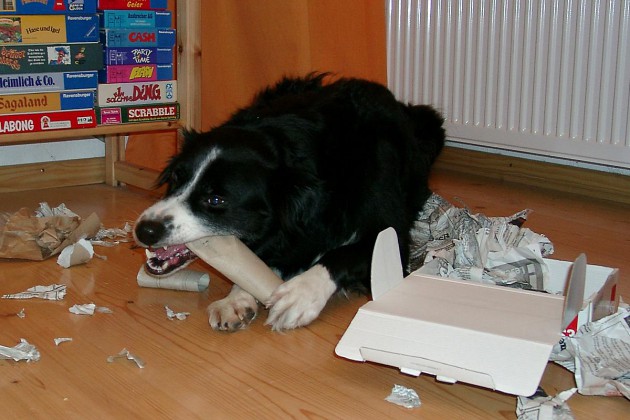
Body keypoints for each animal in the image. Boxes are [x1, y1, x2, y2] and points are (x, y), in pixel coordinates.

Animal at [135, 74, 446, 334]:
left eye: (215, 200)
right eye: (177, 178)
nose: (144, 230)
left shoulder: (390, 235)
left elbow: (342, 253)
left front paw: (300, 295)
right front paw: (237, 297)